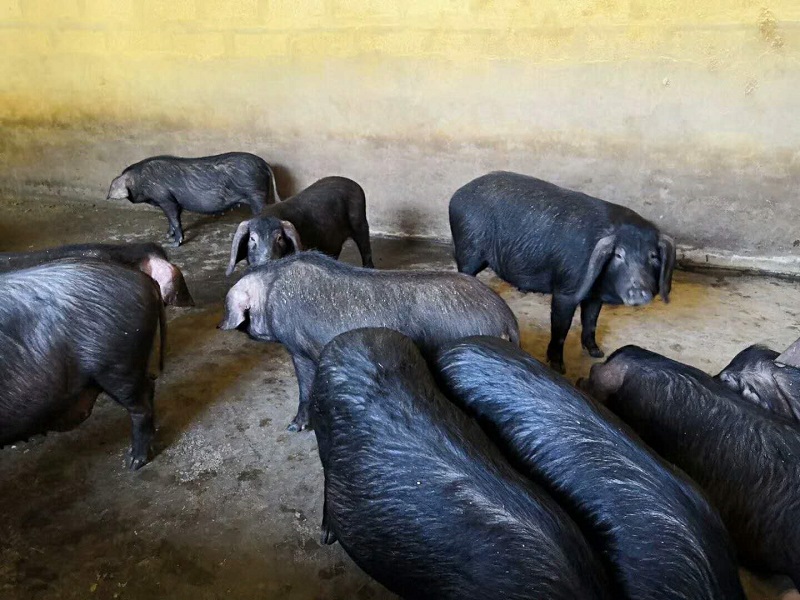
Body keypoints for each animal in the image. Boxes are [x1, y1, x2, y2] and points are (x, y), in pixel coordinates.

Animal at [107, 152, 280, 246]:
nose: (108, 196)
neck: (142, 181)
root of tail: (264, 164)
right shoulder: (174, 202)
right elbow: (171, 220)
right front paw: (167, 235)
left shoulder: (166, 199)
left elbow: (175, 219)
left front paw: (174, 243)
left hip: (256, 194)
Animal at [218, 251, 519, 431]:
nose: (220, 324)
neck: (269, 293)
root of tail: (507, 319)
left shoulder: (299, 348)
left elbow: (305, 386)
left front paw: (294, 427)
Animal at [226, 176, 373, 275]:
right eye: (252, 238)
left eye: (279, 238)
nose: (268, 261)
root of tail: (353, 183)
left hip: (361, 224)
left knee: (366, 252)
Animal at [449, 171, 676, 373]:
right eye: (619, 255)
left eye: (653, 256)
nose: (639, 293)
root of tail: (456, 194)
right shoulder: (565, 290)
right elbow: (561, 329)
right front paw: (559, 368)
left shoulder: (594, 295)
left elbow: (591, 321)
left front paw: (597, 353)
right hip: (469, 247)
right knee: (465, 270)